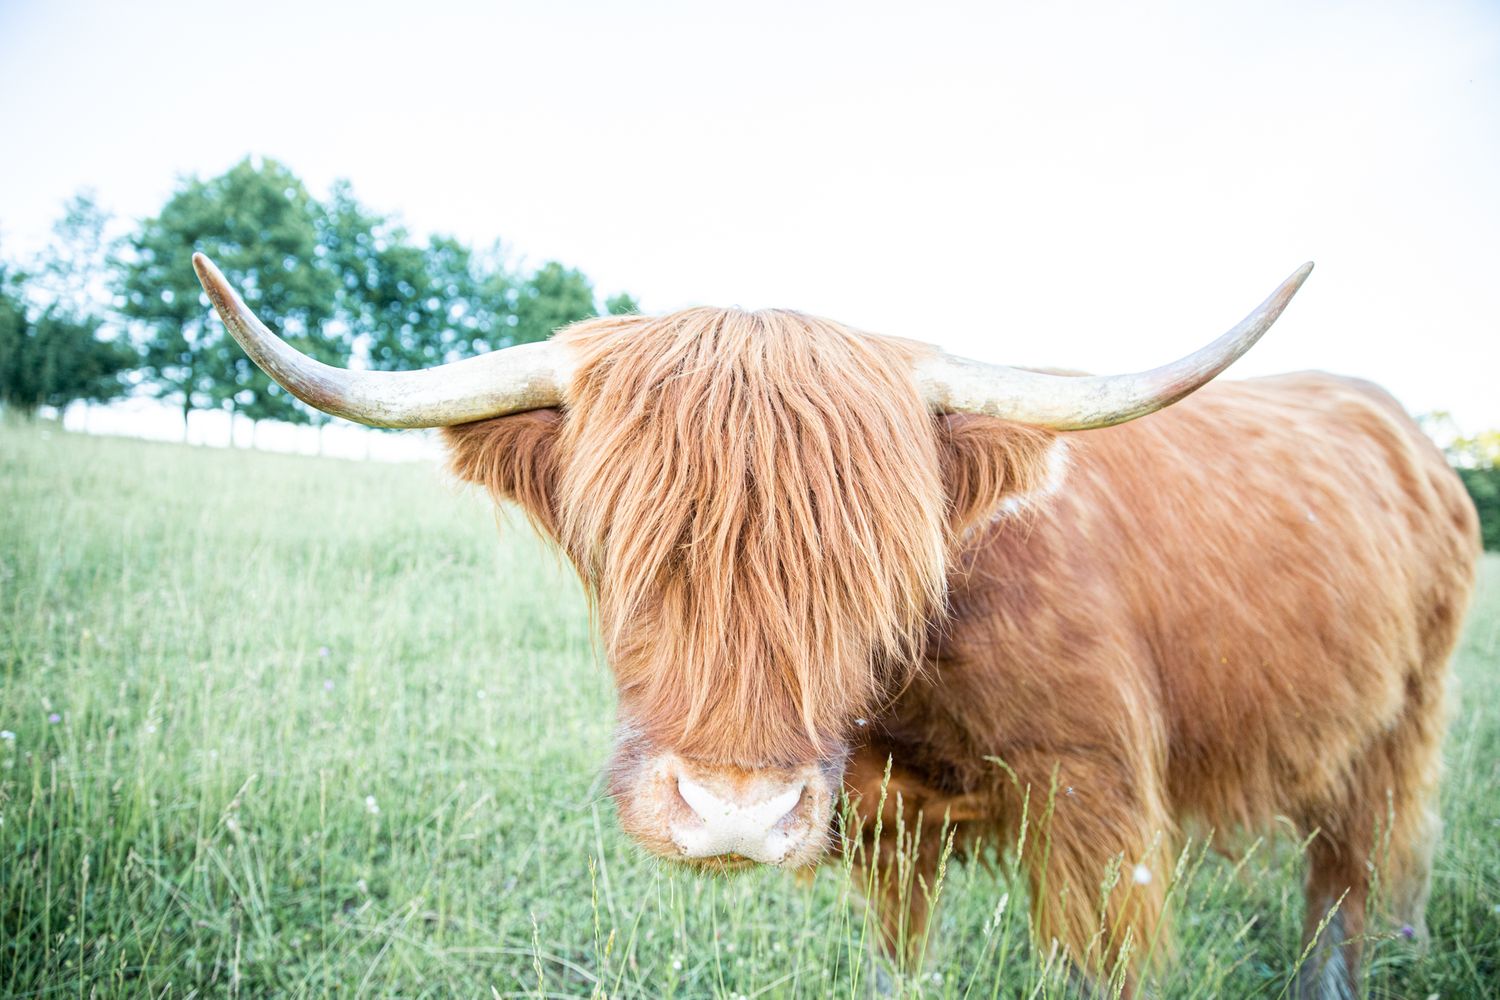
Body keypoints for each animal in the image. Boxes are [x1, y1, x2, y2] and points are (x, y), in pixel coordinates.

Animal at [192, 252, 1479, 998]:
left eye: (874, 561)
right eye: (621, 542)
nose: (733, 810)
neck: (919, 691)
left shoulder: (1098, 816)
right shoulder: (879, 824)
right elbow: (894, 968)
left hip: (1401, 718)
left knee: (1354, 876)